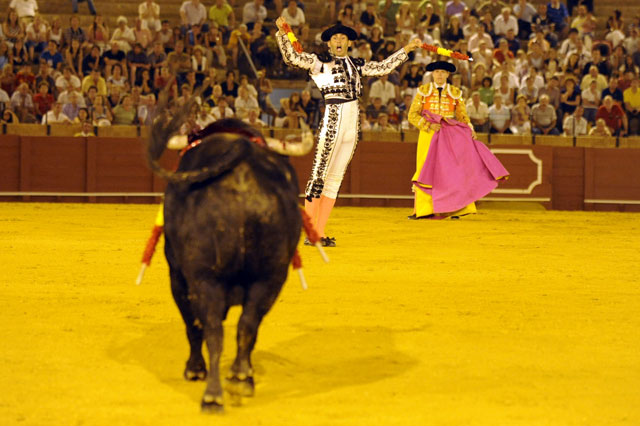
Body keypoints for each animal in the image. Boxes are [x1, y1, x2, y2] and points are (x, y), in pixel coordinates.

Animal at [150, 118, 310, 412]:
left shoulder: (177, 277)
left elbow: (193, 326)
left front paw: (194, 369)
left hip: (205, 278)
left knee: (212, 329)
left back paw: (212, 395)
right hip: (270, 277)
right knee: (248, 325)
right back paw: (241, 378)